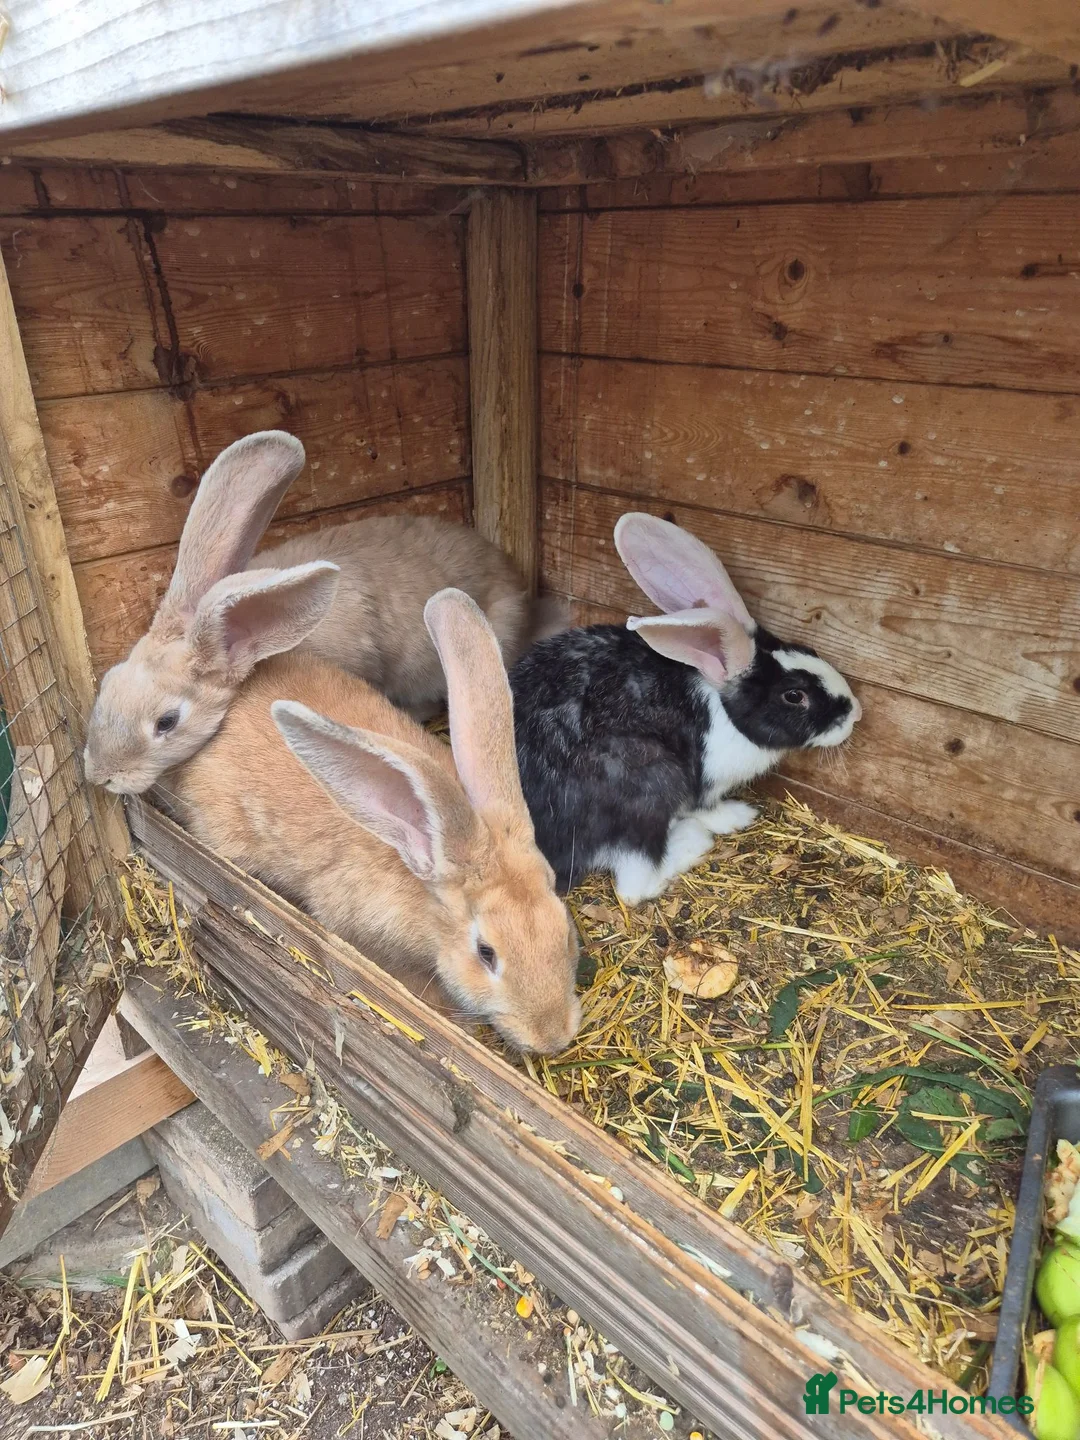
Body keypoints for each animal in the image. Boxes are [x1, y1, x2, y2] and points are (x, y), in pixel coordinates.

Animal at [509, 512, 861, 904]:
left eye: (810, 651)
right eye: (795, 696)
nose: (855, 713)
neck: (725, 709)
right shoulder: (704, 784)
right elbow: (706, 808)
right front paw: (735, 816)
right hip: (649, 781)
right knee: (634, 884)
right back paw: (691, 843)